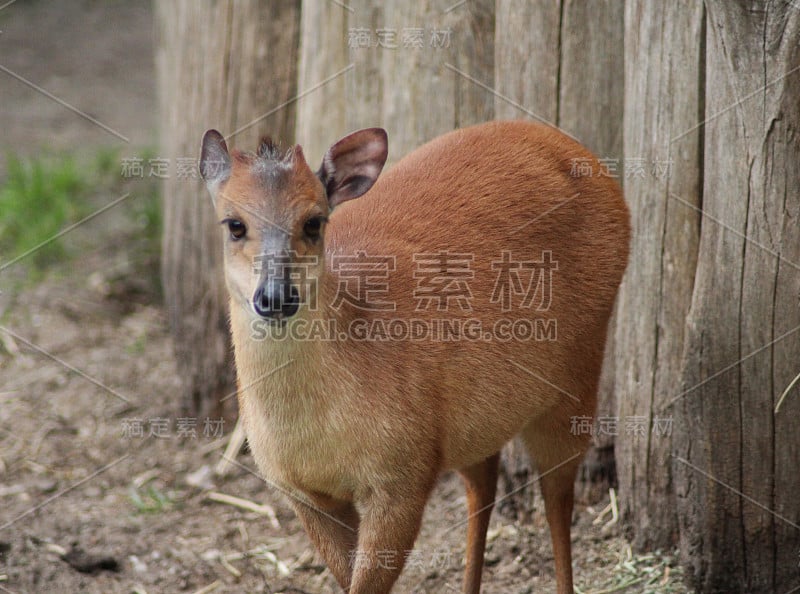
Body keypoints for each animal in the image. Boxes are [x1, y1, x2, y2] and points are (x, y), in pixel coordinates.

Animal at [200, 121, 632, 592]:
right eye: (234, 224)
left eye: (313, 222)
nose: (276, 296)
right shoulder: (304, 494)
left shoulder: (401, 478)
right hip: (474, 418)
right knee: (483, 485)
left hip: (577, 375)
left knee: (557, 496)